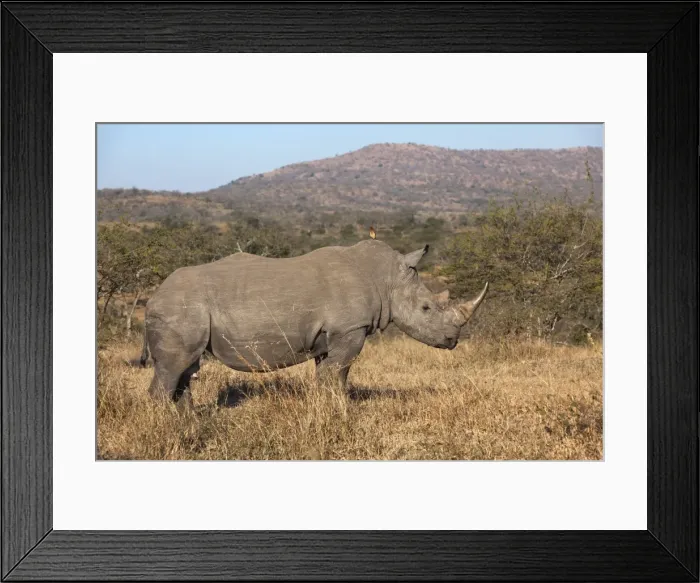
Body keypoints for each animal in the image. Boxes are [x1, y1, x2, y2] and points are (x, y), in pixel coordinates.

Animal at [142, 239, 488, 407]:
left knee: (185, 368)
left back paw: (188, 424)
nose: (452, 340)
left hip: (181, 311)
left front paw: (328, 410)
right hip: (178, 309)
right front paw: (343, 413)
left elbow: (327, 376)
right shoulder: (350, 329)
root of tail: (151, 299)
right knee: (174, 368)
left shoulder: (331, 335)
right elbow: (339, 375)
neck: (386, 277)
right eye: (426, 308)